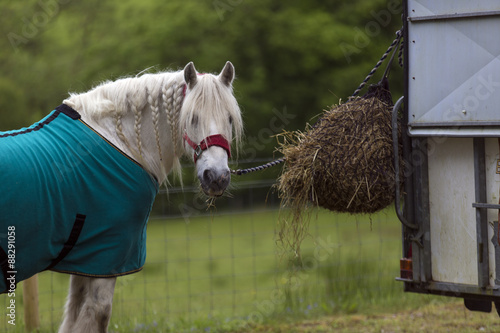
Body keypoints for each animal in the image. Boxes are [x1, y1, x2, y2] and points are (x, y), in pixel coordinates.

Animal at [0, 61, 242, 330]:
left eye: (229, 118)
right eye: (192, 118)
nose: (217, 177)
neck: (119, 142)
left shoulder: (85, 262)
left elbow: (73, 315)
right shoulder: (107, 257)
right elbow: (97, 315)